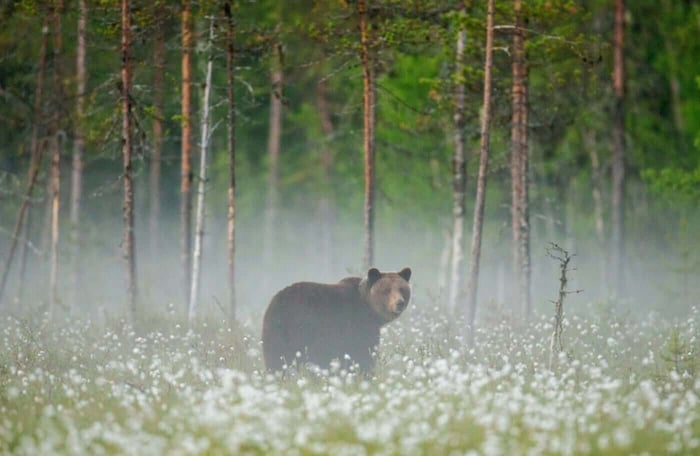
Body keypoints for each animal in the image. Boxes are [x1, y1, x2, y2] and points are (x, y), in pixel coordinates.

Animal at [262, 267, 412, 372]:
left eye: (402, 289)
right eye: (386, 290)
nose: (399, 303)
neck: (370, 310)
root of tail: (277, 300)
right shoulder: (357, 324)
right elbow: (362, 354)